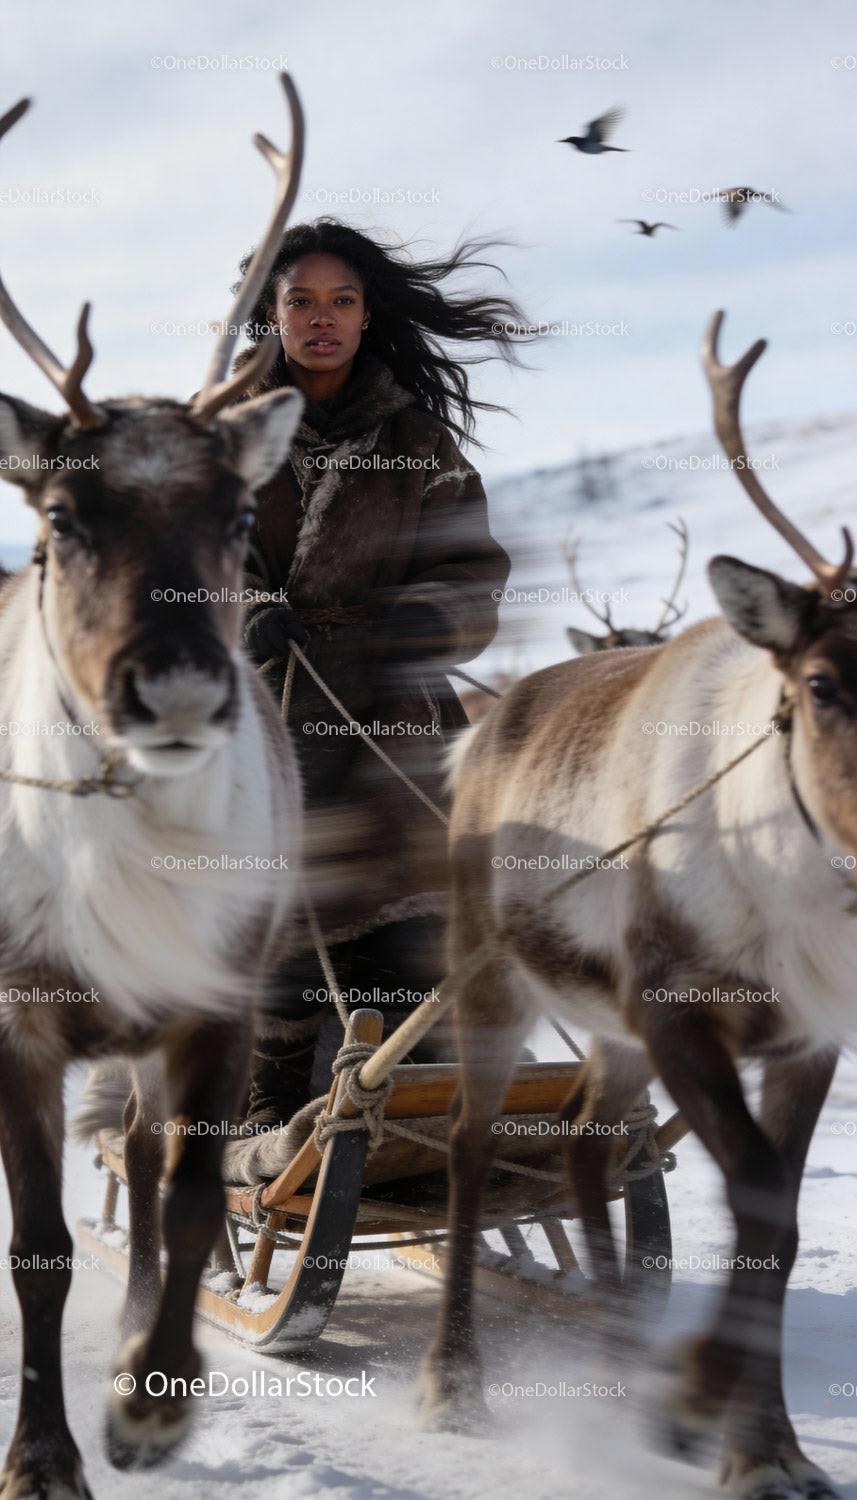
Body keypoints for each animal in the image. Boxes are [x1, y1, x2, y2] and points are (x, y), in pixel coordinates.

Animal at [419, 312, 853, 1500]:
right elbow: (756, 1194)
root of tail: (483, 721)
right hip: (489, 975)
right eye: (819, 682)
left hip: (602, 1024)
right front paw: (697, 1406)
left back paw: (616, 1358)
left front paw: (766, 1447)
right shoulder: (674, 1005)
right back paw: (454, 1382)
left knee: (579, 1142)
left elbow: (771, 1213)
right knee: (472, 1142)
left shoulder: (809, 1036)